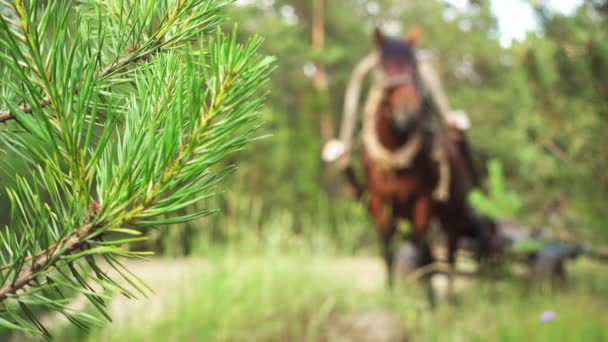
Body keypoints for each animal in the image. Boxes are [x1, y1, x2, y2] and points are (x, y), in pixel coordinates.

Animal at [346, 30, 494, 292]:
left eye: (414, 66)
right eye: (383, 66)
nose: (407, 110)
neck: (394, 159)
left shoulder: (422, 203)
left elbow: (422, 252)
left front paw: (429, 296)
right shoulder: (380, 203)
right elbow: (388, 250)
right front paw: (391, 291)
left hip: (453, 215)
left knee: (450, 256)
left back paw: (451, 294)